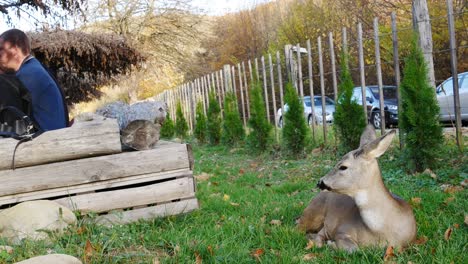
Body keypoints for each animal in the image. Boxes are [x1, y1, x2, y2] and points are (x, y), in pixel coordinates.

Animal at [296, 125, 416, 253]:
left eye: (343, 167)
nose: (320, 182)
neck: (381, 232)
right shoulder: (340, 228)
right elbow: (354, 249)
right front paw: (329, 243)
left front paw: (329, 243)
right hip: (312, 212)